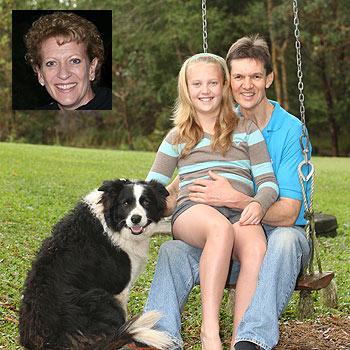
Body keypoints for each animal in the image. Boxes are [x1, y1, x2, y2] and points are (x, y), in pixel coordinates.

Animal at [18, 180, 172, 350]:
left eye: (146, 202)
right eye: (125, 203)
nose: (136, 219)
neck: (111, 223)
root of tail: (50, 341)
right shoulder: (119, 288)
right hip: (100, 297)